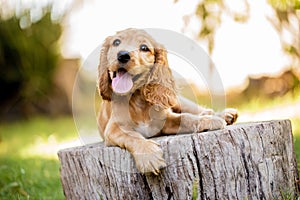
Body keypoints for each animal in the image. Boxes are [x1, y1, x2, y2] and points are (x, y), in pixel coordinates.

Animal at [97, 28, 238, 175]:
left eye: (144, 48)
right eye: (116, 42)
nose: (123, 55)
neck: (137, 100)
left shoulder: (164, 120)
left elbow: (186, 118)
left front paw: (209, 121)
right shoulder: (114, 129)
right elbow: (132, 136)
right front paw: (149, 156)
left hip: (177, 101)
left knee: (200, 110)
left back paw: (223, 115)